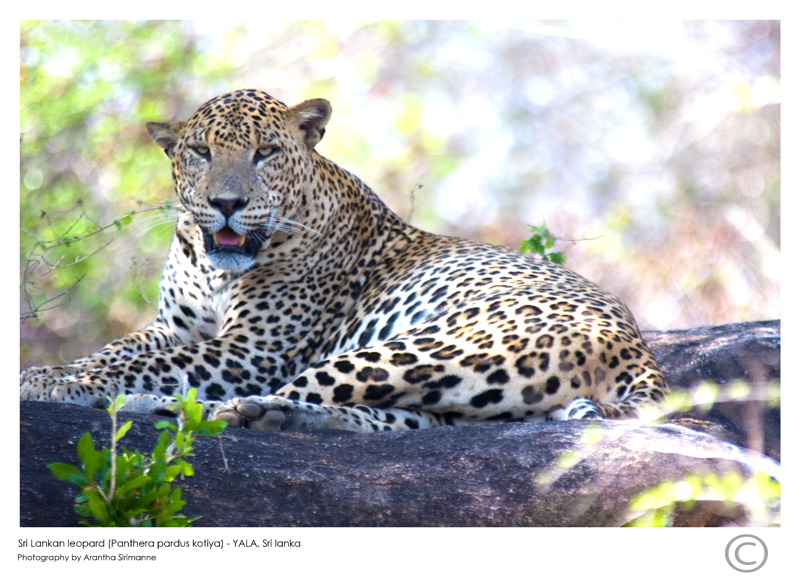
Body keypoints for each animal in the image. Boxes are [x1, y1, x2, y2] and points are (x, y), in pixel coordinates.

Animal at [18, 88, 668, 434]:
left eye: (266, 152)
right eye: (199, 152)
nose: (226, 204)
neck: (212, 268)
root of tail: (639, 349)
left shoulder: (252, 351)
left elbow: (144, 367)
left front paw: (58, 384)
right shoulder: (172, 328)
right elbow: (116, 351)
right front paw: (50, 371)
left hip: (426, 347)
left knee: (263, 399)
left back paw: (213, 409)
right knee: (392, 420)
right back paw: (263, 416)